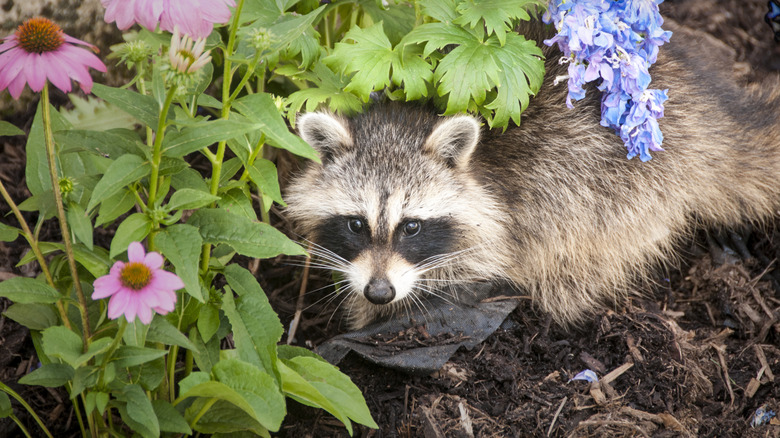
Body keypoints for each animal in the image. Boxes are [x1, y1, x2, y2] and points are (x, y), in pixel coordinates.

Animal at [284, 20, 780, 330]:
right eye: (356, 223)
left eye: (411, 227)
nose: (379, 292)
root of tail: (710, 117)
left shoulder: (509, 215)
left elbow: (477, 263)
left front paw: (378, 311)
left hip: (624, 188)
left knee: (580, 257)